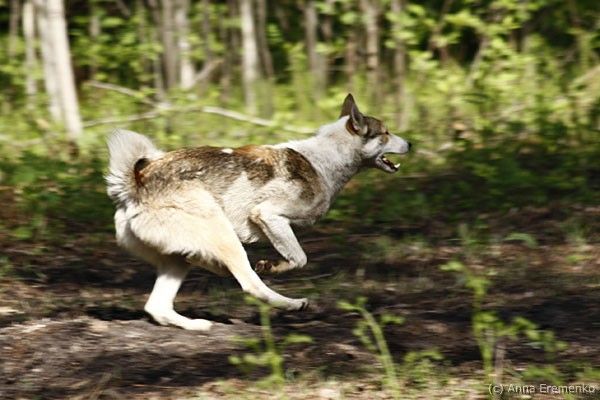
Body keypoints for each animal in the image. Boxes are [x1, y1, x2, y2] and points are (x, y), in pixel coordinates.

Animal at [106, 94, 411, 330]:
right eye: (385, 132)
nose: (410, 144)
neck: (326, 159)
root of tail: (136, 183)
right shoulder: (268, 215)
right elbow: (299, 259)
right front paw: (272, 266)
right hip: (222, 233)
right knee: (250, 284)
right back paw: (292, 304)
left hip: (178, 260)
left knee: (158, 306)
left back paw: (197, 324)